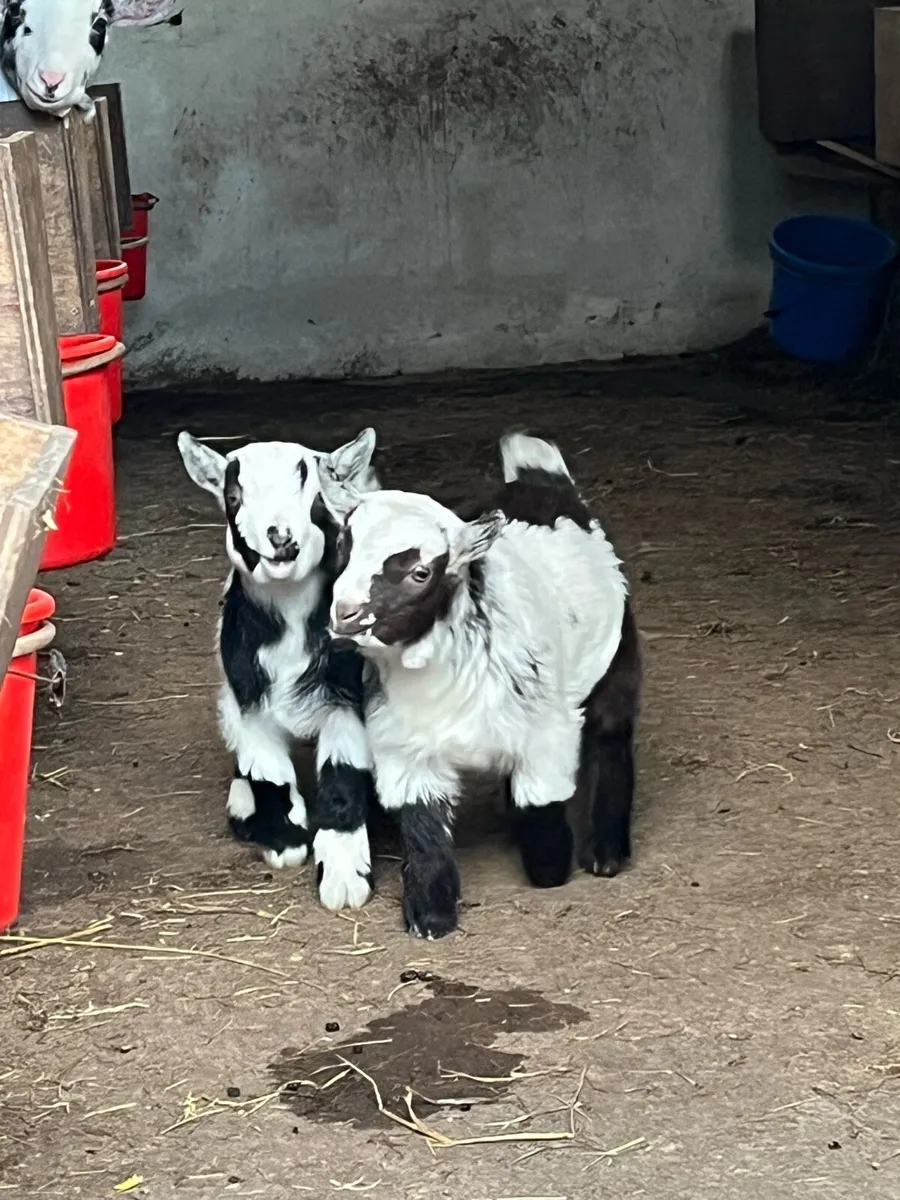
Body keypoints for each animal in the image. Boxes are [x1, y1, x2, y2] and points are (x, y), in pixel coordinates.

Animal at [178, 428, 380, 912]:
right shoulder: (245, 698)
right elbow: (267, 770)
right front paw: (284, 839)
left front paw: (344, 876)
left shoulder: (346, 697)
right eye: (234, 495)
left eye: (314, 496)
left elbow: (343, 774)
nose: (281, 537)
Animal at [316, 431, 640, 937]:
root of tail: (543, 482)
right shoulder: (406, 748)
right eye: (343, 548)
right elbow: (423, 827)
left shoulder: (547, 732)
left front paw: (551, 867)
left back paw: (606, 854)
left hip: (617, 657)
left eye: (421, 572)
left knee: (612, 738)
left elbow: (542, 807)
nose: (345, 615)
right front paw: (431, 915)